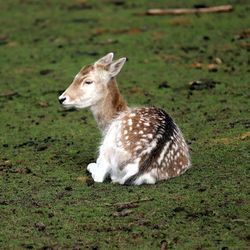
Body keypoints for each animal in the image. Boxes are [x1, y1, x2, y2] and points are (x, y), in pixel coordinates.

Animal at [59, 52, 191, 185]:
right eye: (75, 76)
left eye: (88, 81)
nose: (61, 98)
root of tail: (137, 168)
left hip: (107, 147)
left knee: (100, 175)